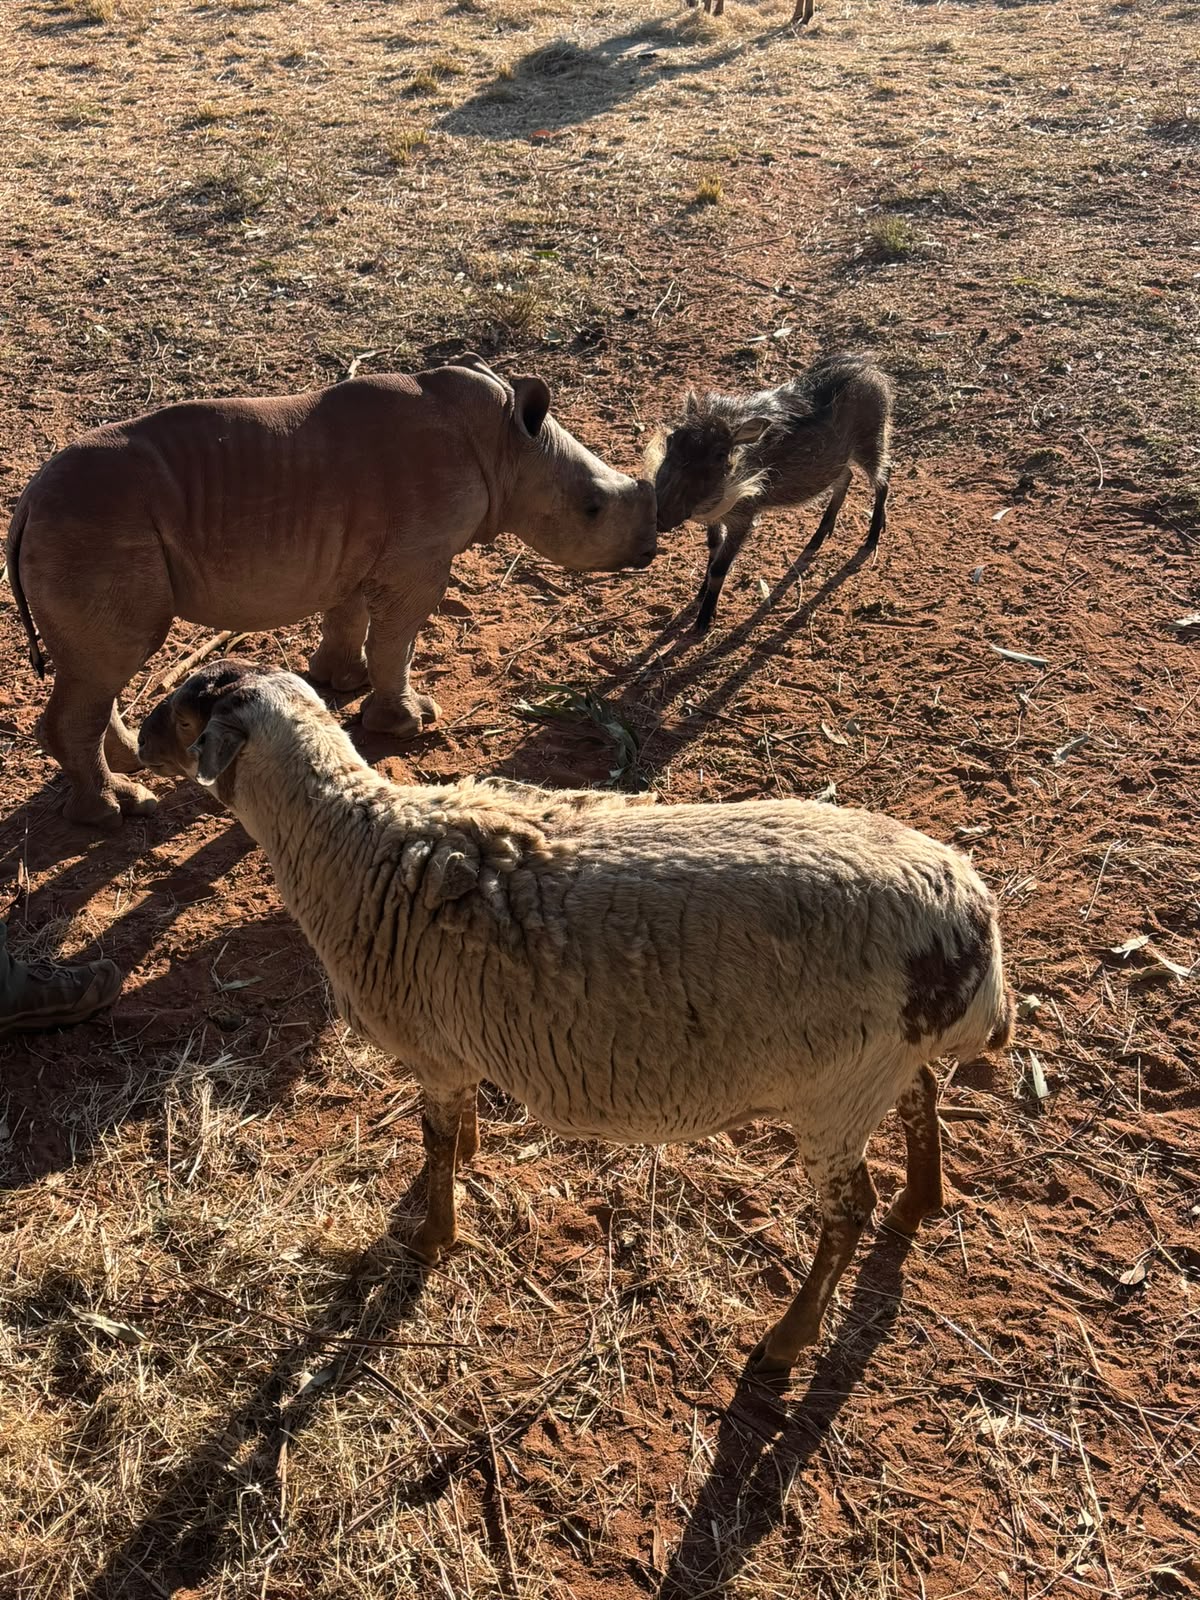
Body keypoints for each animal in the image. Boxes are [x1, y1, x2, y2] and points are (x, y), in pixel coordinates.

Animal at [6, 354, 657, 829]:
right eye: (593, 509)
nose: (647, 552)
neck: (508, 447)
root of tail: (28, 504)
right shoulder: (419, 557)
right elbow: (398, 638)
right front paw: (407, 722)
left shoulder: (358, 548)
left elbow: (349, 614)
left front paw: (341, 681)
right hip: (93, 529)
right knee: (112, 659)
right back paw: (117, 811)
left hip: (86, 527)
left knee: (103, 664)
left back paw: (127, 767)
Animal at [139, 658, 1014, 1375]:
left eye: (187, 707)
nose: (141, 739)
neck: (348, 844)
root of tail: (973, 921)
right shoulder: (454, 1047)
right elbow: (455, 1128)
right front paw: (471, 1156)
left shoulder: (433, 1048)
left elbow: (432, 1141)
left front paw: (431, 1237)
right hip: (877, 1064)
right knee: (923, 1095)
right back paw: (921, 1200)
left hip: (836, 1091)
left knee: (847, 1211)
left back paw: (787, 1341)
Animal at [649, 353, 893, 632]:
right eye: (671, 440)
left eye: (720, 454)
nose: (660, 517)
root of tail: (868, 366)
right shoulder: (716, 518)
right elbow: (713, 549)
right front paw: (700, 596)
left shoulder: (743, 519)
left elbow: (720, 568)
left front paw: (703, 621)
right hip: (837, 461)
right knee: (846, 479)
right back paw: (816, 540)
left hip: (871, 443)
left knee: (884, 479)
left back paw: (872, 539)